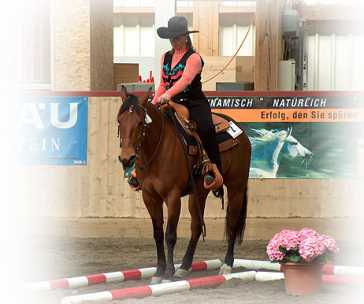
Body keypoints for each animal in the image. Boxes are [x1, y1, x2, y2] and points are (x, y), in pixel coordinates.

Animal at [118, 87, 252, 282]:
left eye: (141, 122)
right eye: (119, 121)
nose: (126, 158)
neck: (157, 149)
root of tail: (240, 130)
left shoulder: (172, 196)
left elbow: (170, 235)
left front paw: (168, 273)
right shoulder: (149, 197)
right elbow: (158, 234)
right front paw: (159, 271)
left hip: (237, 187)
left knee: (232, 223)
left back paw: (227, 265)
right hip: (199, 193)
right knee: (196, 226)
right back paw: (185, 266)